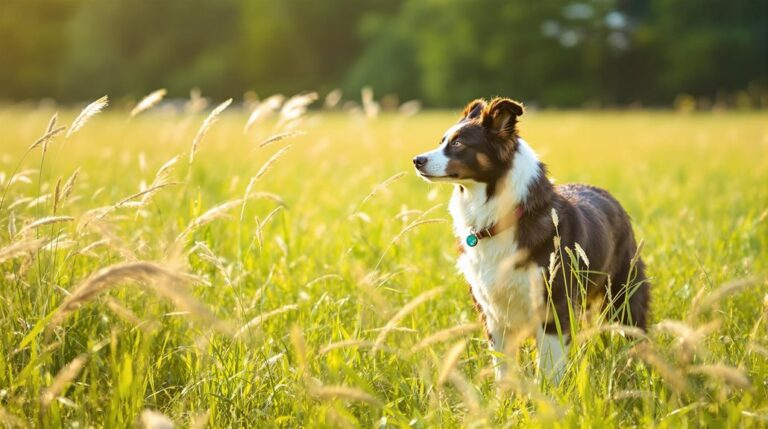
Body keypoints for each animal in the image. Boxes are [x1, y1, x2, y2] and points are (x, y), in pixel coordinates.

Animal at [414, 97, 648, 382]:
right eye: (442, 141)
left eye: (458, 143)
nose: (417, 160)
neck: (502, 218)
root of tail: (609, 196)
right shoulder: (493, 312)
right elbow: (503, 369)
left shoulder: (553, 306)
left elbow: (548, 369)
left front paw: (548, 392)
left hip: (624, 295)